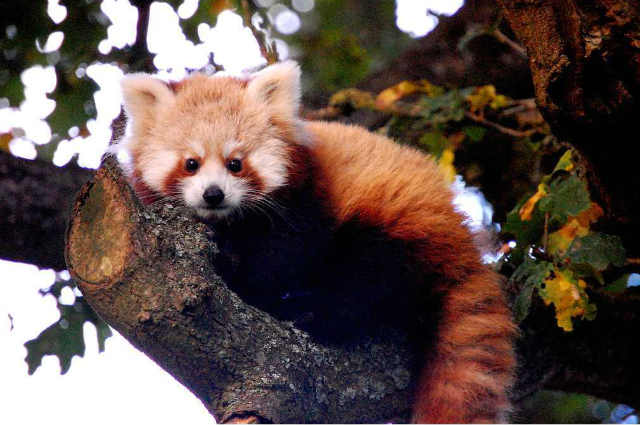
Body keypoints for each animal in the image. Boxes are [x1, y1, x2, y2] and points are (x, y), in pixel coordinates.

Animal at [115, 61, 516, 422]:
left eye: (235, 163)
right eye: (191, 163)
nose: (213, 195)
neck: (231, 223)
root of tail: (460, 232)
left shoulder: (304, 203)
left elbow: (285, 258)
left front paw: (240, 280)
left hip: (399, 223)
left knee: (370, 278)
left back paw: (311, 312)